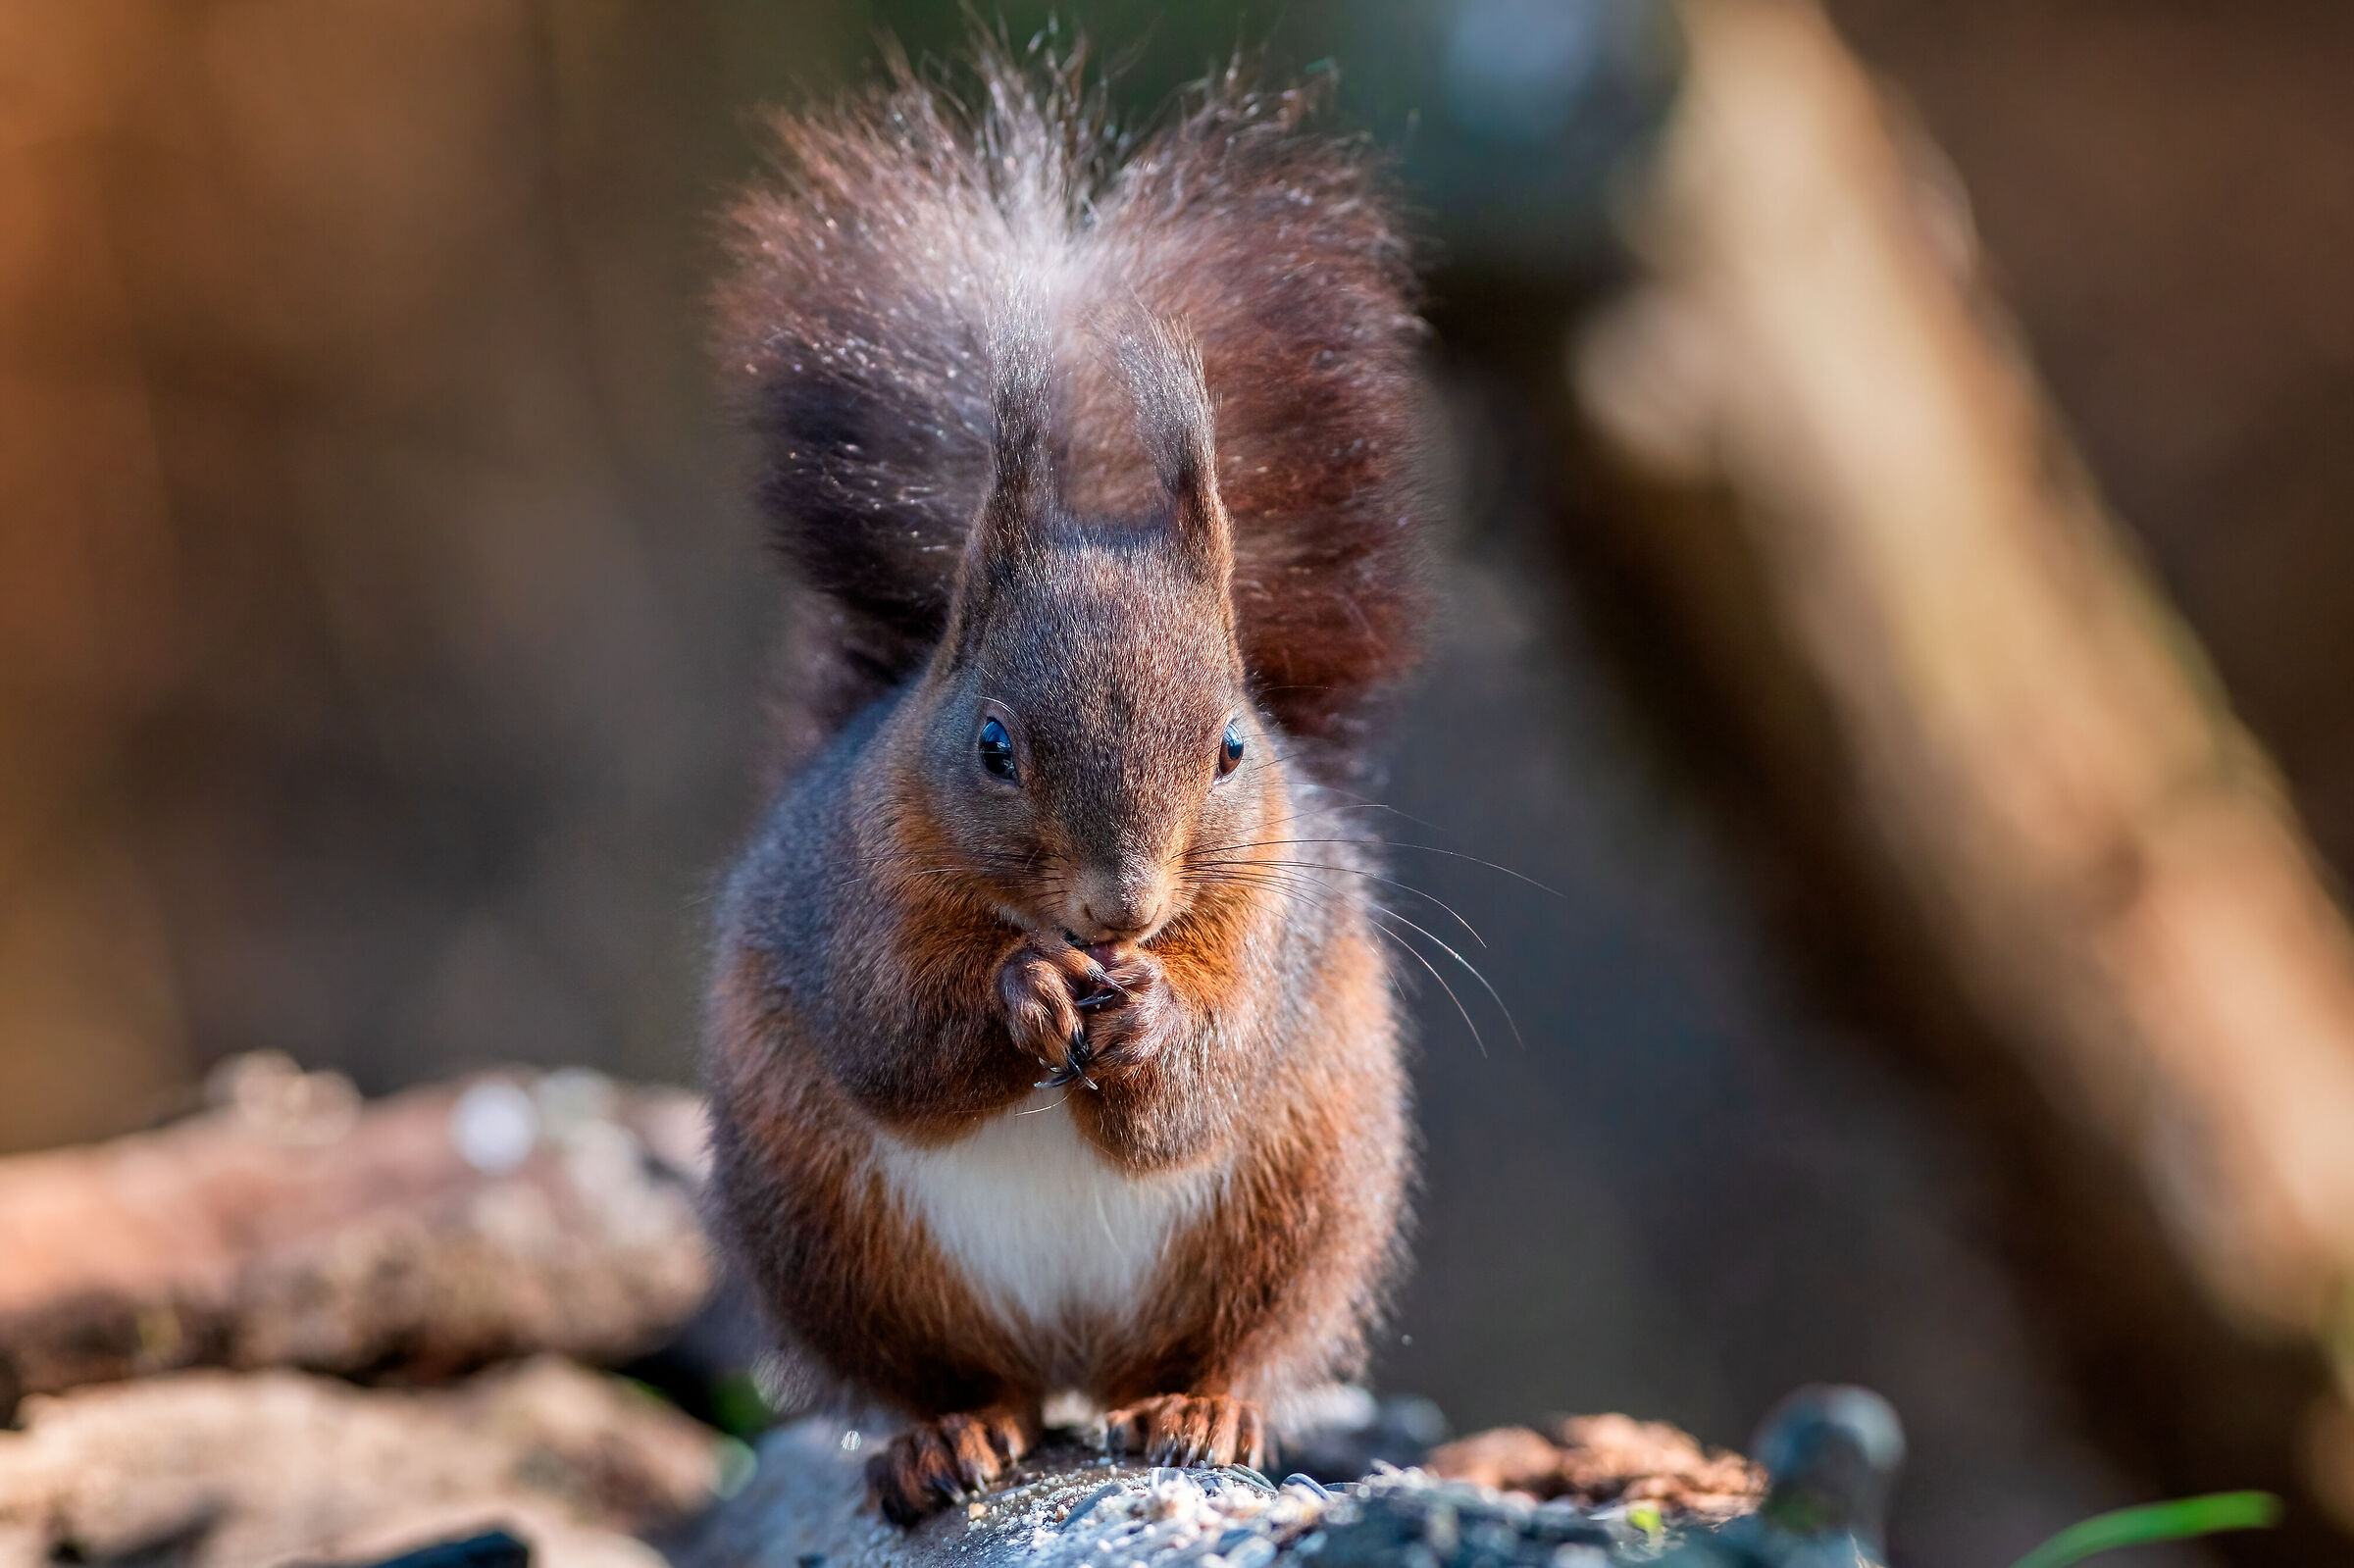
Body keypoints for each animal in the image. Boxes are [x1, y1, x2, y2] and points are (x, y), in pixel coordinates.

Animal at [700, 42, 1429, 1525]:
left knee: (1232, 1342)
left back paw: (1203, 1408)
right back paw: (945, 1436)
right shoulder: (847, 902)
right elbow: (894, 1038)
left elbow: (1202, 1079)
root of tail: (1077, 1361)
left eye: (1233, 747)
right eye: (991, 746)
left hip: (1302, 1199)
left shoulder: (1272, 932)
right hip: (831, 1241)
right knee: (951, 1379)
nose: (1118, 910)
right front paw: (1023, 988)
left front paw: (1148, 1012)